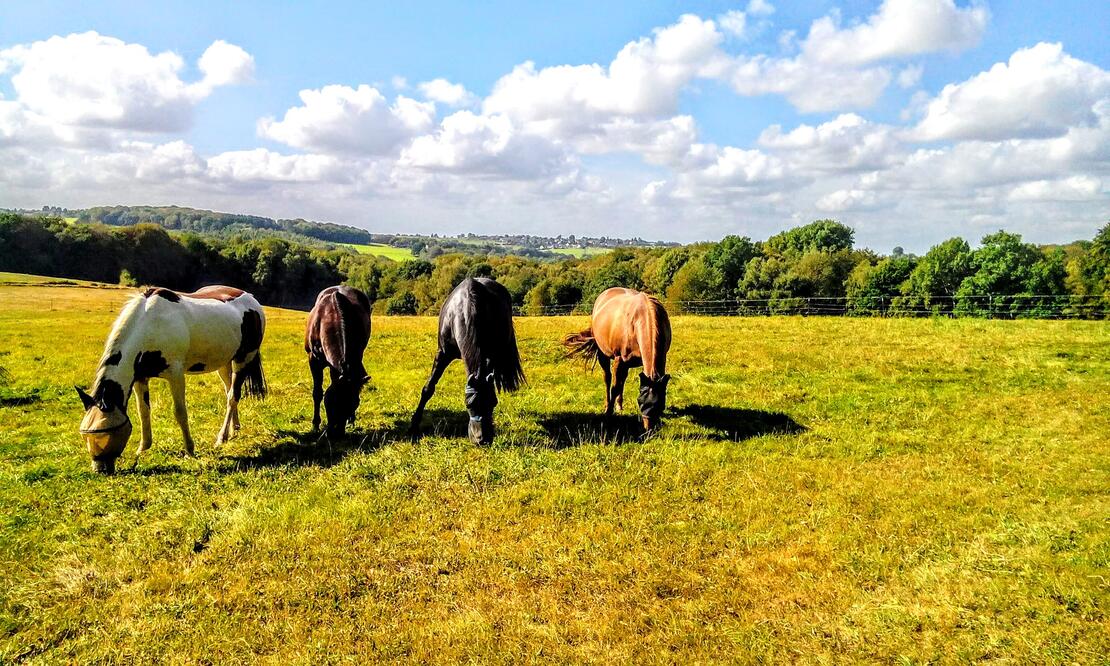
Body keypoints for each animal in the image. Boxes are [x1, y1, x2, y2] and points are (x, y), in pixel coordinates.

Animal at [76, 285, 266, 474]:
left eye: (106, 433)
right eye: (85, 435)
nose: (100, 470)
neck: (150, 324)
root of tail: (251, 299)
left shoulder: (176, 375)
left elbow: (180, 413)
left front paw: (190, 450)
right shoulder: (140, 379)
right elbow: (143, 411)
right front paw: (143, 448)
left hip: (244, 358)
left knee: (233, 396)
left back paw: (222, 437)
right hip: (224, 363)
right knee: (230, 392)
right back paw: (234, 429)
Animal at [305, 285, 372, 438]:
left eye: (355, 403)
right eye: (331, 402)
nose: (338, 434)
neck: (333, 316)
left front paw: (350, 419)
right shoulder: (313, 360)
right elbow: (317, 393)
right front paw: (315, 424)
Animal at [410, 277, 525, 445]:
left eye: (493, 403)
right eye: (468, 404)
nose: (482, 439)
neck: (467, 311)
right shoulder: (442, 354)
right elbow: (428, 389)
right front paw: (413, 425)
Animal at [563, 287, 672, 432]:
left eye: (660, 404)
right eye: (640, 401)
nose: (649, 429)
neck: (643, 317)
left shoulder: (662, 357)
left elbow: (620, 384)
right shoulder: (619, 360)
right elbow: (614, 387)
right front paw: (609, 413)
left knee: (622, 380)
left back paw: (619, 405)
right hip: (604, 355)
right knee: (608, 378)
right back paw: (608, 404)